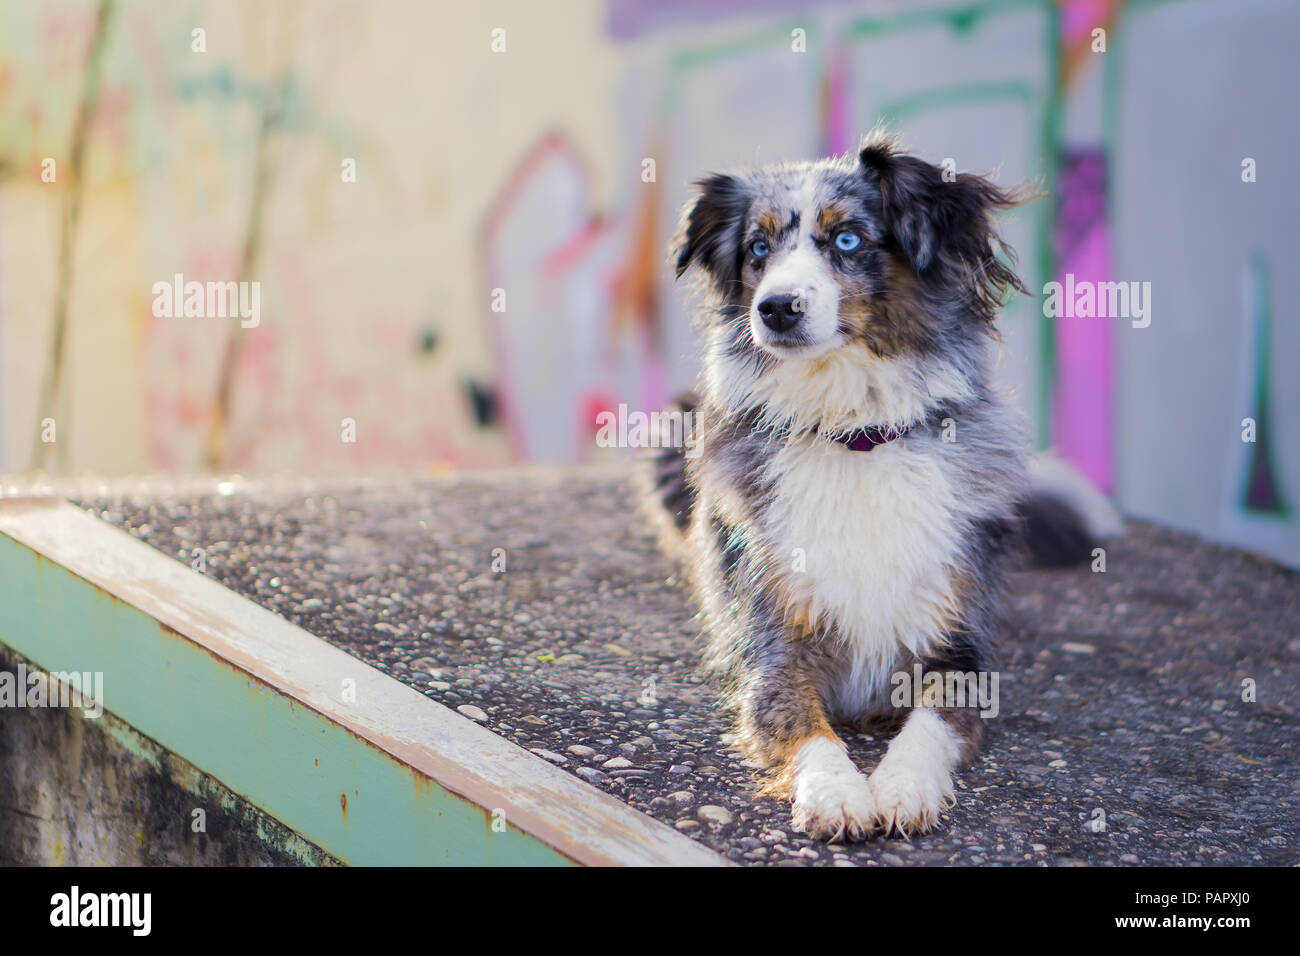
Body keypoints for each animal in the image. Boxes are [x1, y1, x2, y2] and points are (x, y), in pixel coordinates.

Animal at [650, 130, 1118, 842]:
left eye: (847, 239)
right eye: (758, 249)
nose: (775, 309)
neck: (855, 432)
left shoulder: (960, 648)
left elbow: (929, 725)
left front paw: (901, 787)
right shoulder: (770, 646)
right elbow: (801, 721)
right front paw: (837, 792)